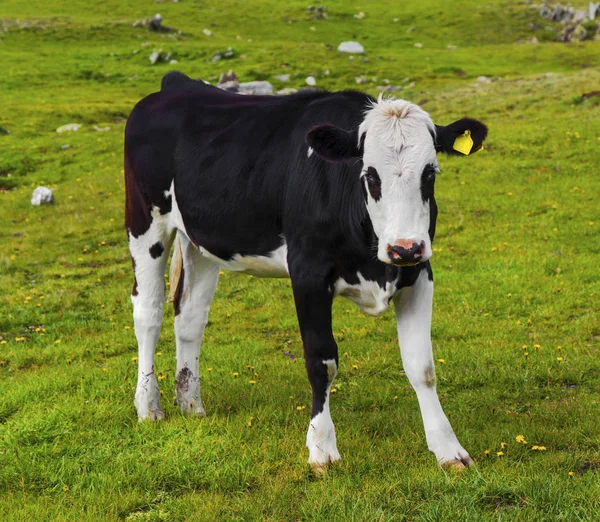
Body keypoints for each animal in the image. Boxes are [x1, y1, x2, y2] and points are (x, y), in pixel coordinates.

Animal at [125, 70, 488, 472]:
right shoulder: (308, 273)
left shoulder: (418, 274)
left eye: (431, 173)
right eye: (369, 175)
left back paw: (191, 404)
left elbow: (421, 365)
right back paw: (149, 406)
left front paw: (448, 449)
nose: (404, 247)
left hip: (201, 239)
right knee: (149, 313)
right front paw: (322, 448)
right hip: (145, 223)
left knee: (189, 316)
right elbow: (321, 361)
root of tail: (178, 84)